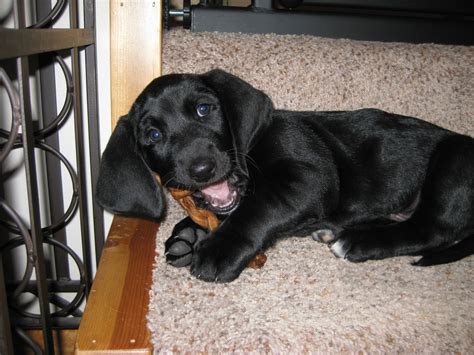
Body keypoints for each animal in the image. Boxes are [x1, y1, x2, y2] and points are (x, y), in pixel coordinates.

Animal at [96, 69, 474, 282]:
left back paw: (356, 241)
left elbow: (258, 208)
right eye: (153, 135)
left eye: (204, 109)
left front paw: (220, 248)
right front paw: (187, 235)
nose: (202, 168)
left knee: (432, 229)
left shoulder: (310, 177)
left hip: (454, 161)